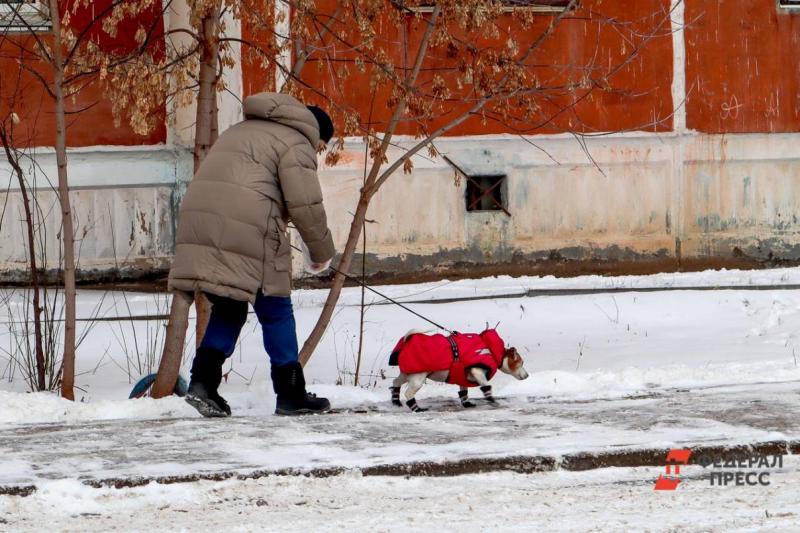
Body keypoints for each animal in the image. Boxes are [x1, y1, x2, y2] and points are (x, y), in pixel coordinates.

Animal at [390, 328, 532, 412]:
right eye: (521, 363)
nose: (527, 375)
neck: (492, 350)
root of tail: (407, 340)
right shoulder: (477, 371)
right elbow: (486, 386)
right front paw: (492, 400)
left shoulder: (463, 377)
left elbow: (464, 392)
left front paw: (467, 403)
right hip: (418, 378)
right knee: (408, 393)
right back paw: (416, 408)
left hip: (406, 374)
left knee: (395, 383)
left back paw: (396, 401)